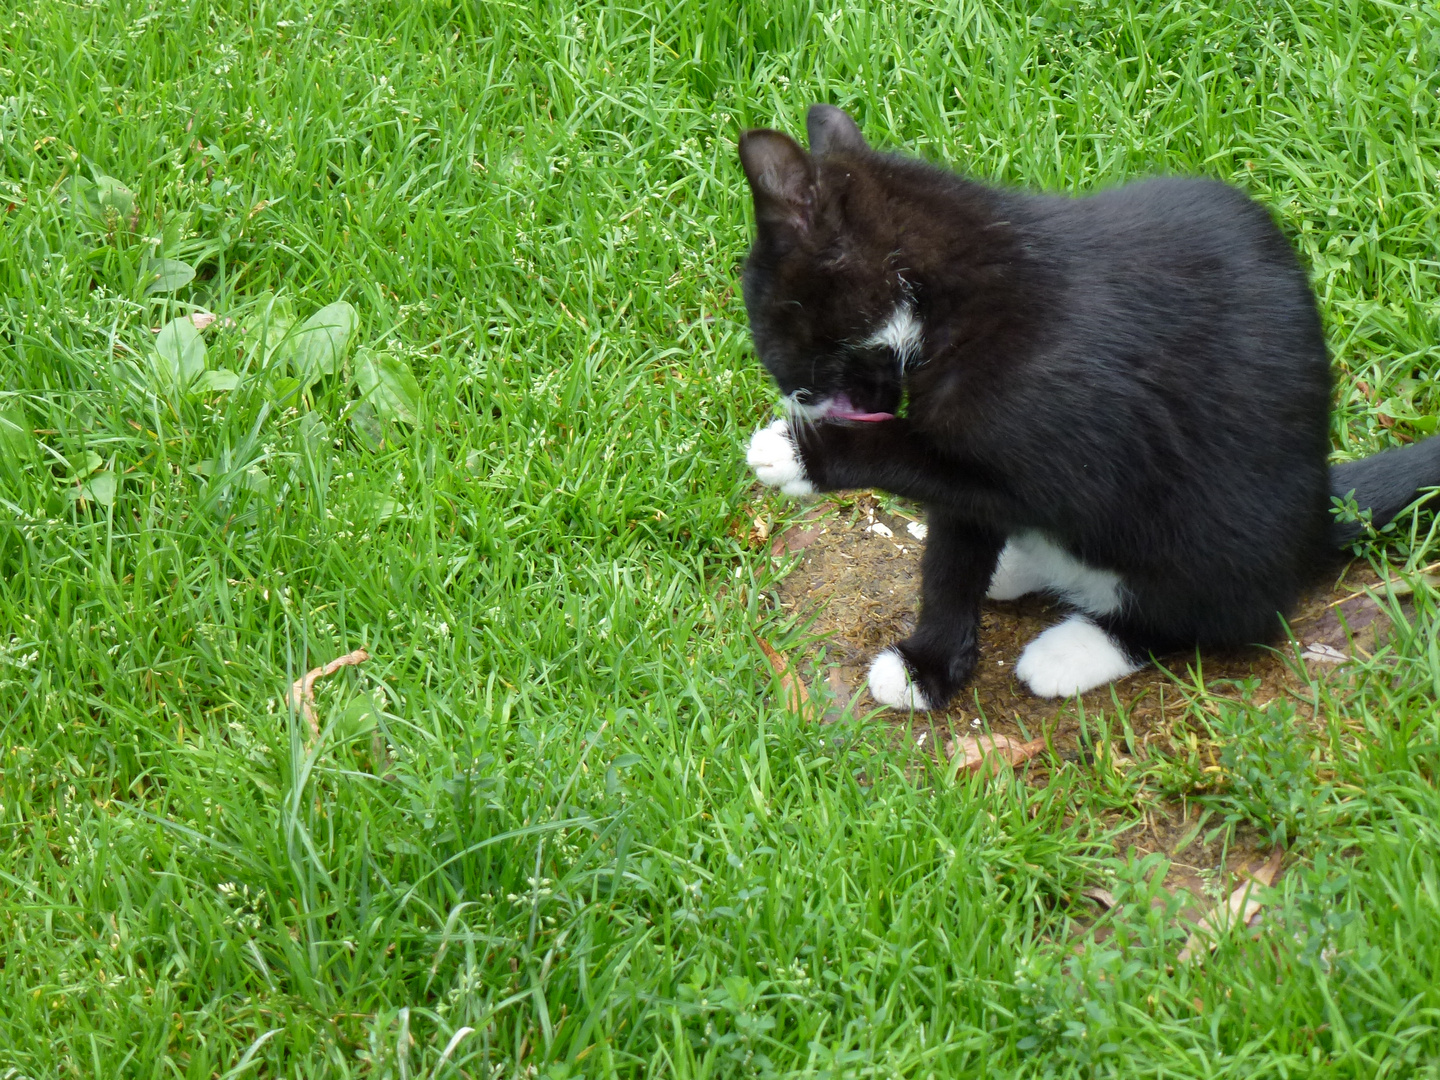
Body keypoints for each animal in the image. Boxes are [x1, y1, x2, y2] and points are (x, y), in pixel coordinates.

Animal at [743, 105, 1440, 705]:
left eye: (769, 328)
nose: (793, 393)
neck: (949, 296)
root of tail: (1321, 516)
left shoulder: (1059, 462)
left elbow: (921, 460)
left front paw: (797, 451)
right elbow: (952, 556)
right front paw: (929, 667)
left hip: (1209, 545)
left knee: (1212, 617)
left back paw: (1077, 649)